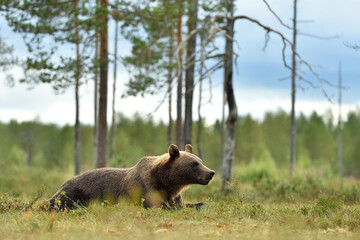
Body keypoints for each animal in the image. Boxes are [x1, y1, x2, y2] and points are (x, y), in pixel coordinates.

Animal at [48, 144, 215, 210]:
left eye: (201, 161)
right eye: (194, 164)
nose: (211, 172)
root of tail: (62, 183)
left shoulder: (174, 194)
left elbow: (182, 204)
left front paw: (202, 204)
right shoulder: (146, 188)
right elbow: (157, 205)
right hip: (74, 191)